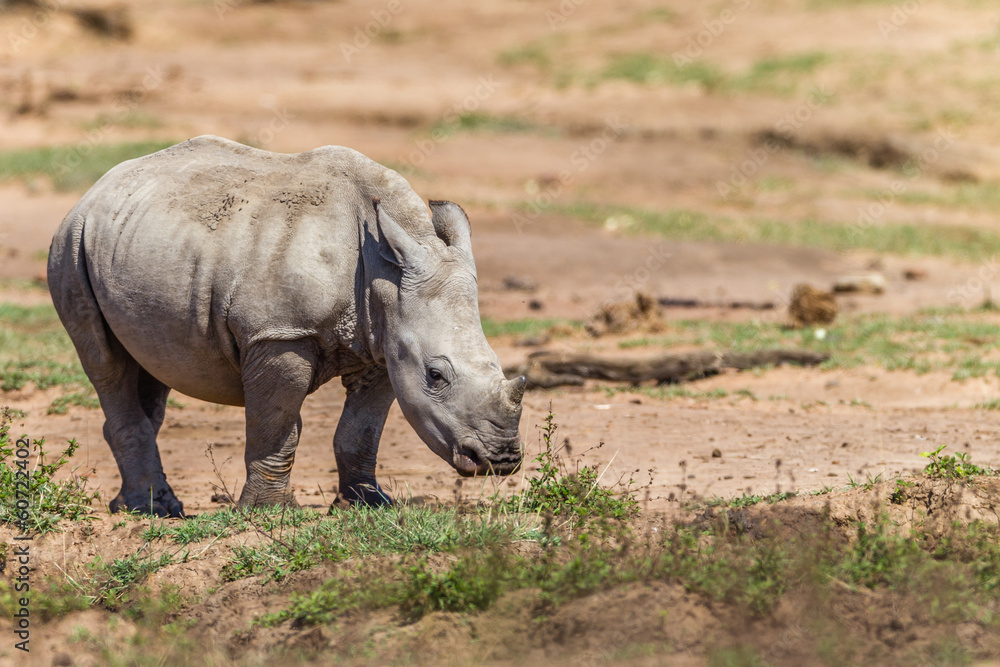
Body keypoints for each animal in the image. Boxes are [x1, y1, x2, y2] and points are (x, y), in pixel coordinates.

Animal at [47, 135, 526, 517]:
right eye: (436, 375)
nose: (500, 460)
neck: (385, 275)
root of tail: (96, 189)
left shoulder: (384, 344)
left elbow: (361, 431)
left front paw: (367, 506)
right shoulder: (280, 333)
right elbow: (275, 426)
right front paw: (265, 513)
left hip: (132, 245)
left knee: (151, 367)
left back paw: (138, 506)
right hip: (70, 244)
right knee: (105, 364)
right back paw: (153, 511)